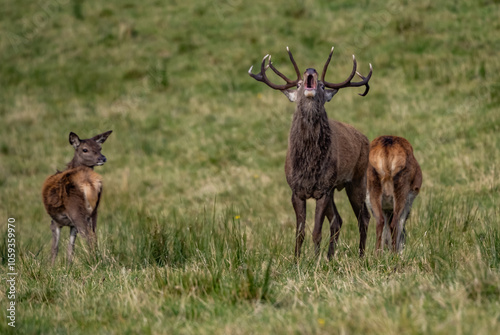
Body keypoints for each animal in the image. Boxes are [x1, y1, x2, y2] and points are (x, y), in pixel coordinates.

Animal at [41, 131, 112, 266]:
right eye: (85, 149)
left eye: (99, 147)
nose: (102, 158)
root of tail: (89, 183)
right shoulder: (72, 225)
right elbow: (70, 247)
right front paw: (69, 266)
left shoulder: (55, 221)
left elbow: (55, 247)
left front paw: (51, 267)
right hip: (94, 212)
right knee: (94, 235)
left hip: (75, 210)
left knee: (89, 236)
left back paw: (93, 260)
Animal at [249, 46, 372, 260]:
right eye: (298, 84)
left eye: (322, 85)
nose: (311, 70)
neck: (308, 165)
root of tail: (365, 138)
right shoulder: (297, 190)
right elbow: (300, 232)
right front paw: (297, 261)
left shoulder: (322, 189)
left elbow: (316, 231)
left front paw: (315, 261)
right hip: (334, 187)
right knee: (338, 220)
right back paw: (331, 257)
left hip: (357, 178)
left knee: (363, 217)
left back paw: (361, 256)